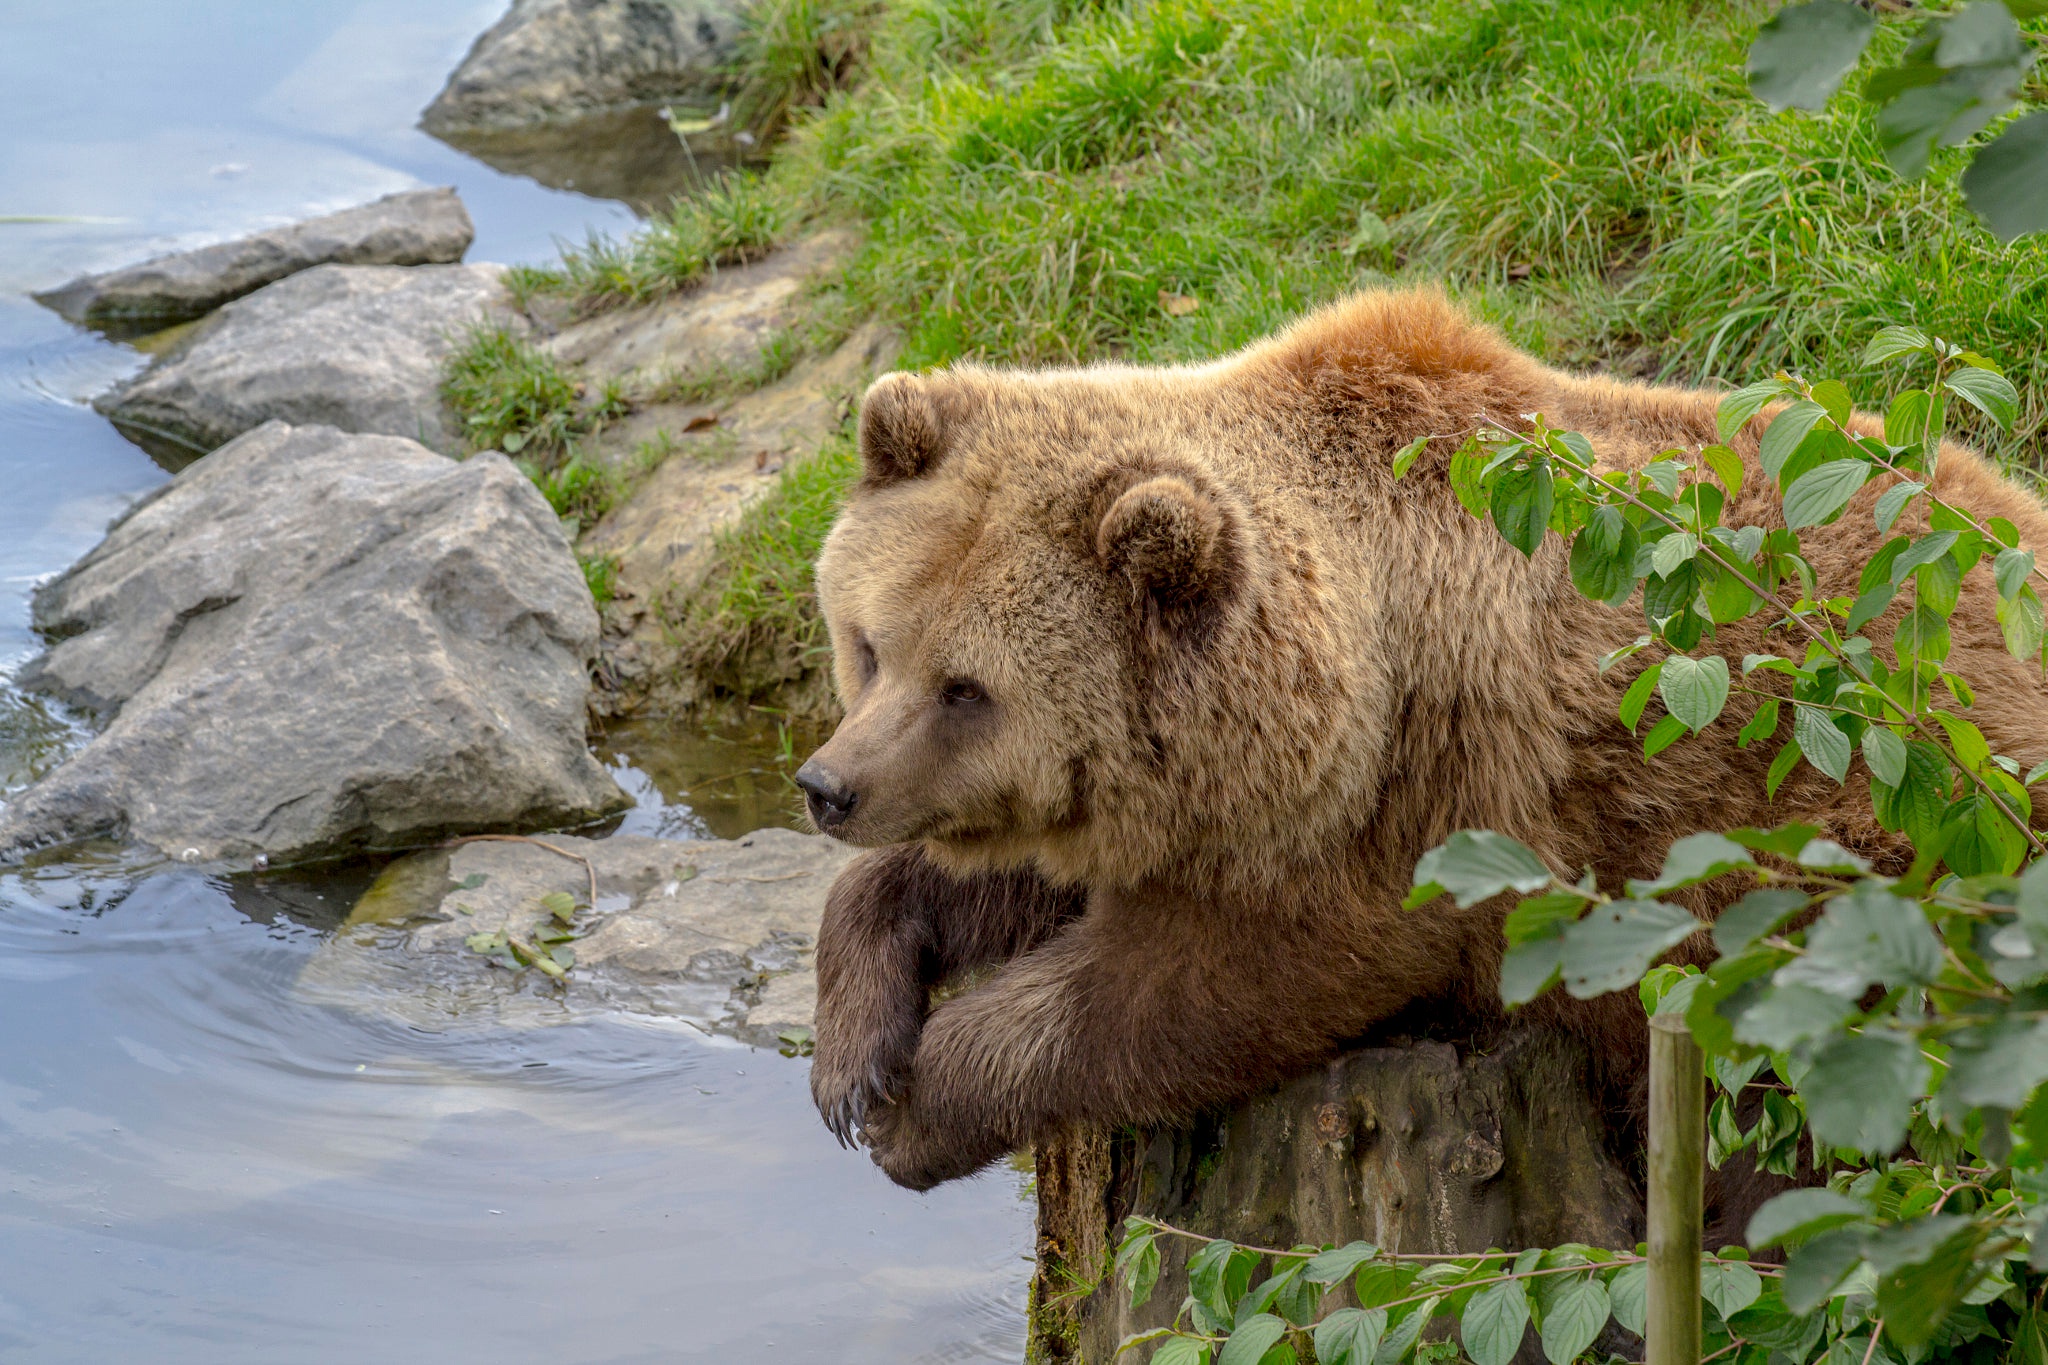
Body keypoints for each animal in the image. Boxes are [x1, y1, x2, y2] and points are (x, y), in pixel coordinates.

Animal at [786, 290, 2048, 1195]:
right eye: (870, 645)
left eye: (967, 690)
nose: (826, 785)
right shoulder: (1183, 803)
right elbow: (1006, 874)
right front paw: (854, 1055)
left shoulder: (1415, 818)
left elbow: (1187, 992)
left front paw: (920, 1103)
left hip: (1871, 862)